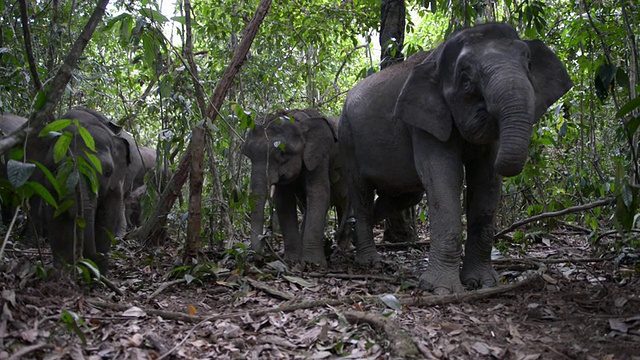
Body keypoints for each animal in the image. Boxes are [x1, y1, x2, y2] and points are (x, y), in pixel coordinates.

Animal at [242, 108, 348, 266]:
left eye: (282, 154)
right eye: (248, 154)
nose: (260, 259)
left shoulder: (320, 158)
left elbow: (319, 194)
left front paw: (313, 263)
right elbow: (283, 201)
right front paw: (292, 260)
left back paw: (345, 248)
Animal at [342, 21, 572, 292]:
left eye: (528, 63)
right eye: (465, 78)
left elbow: (485, 180)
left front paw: (483, 282)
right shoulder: (424, 122)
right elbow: (444, 177)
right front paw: (440, 289)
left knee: (402, 196)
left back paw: (349, 236)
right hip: (348, 137)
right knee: (362, 193)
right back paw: (369, 260)